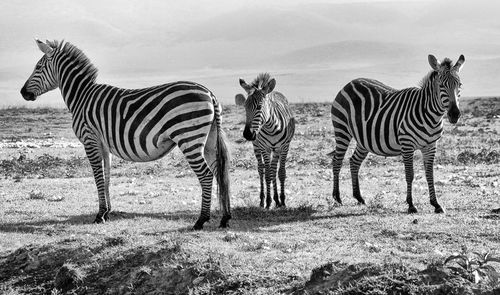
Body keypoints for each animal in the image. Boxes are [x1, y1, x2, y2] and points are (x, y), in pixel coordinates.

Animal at [19, 38, 230, 231]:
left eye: (38, 67)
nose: (22, 93)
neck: (82, 96)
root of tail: (209, 93)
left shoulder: (90, 139)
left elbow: (97, 175)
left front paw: (99, 215)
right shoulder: (103, 143)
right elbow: (106, 175)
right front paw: (107, 212)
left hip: (188, 137)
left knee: (206, 175)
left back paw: (201, 220)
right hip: (209, 140)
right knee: (220, 172)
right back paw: (225, 218)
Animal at [235, 73, 294, 208]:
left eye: (259, 107)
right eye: (245, 107)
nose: (247, 134)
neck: (271, 127)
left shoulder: (285, 147)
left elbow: (280, 173)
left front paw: (282, 201)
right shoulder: (265, 148)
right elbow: (267, 174)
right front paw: (268, 201)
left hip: (276, 150)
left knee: (273, 169)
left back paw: (277, 199)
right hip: (257, 147)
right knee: (262, 170)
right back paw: (263, 200)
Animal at [332, 54, 464, 214]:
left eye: (460, 85)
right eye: (441, 85)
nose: (454, 114)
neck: (431, 114)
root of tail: (350, 83)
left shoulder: (430, 146)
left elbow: (429, 175)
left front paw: (436, 204)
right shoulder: (407, 144)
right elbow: (410, 175)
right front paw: (411, 204)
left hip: (364, 139)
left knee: (354, 161)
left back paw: (359, 198)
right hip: (342, 130)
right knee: (337, 161)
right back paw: (337, 198)